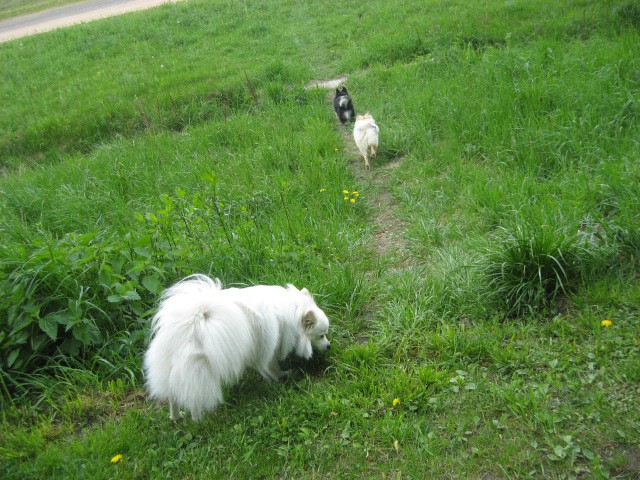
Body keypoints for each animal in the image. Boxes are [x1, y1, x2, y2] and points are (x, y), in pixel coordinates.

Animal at [144, 274, 330, 420]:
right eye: (321, 335)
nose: (328, 345)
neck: (292, 310)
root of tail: (191, 321)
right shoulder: (271, 348)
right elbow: (272, 366)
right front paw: (283, 375)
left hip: (173, 368)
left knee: (173, 395)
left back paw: (176, 417)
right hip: (199, 371)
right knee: (193, 399)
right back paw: (198, 420)